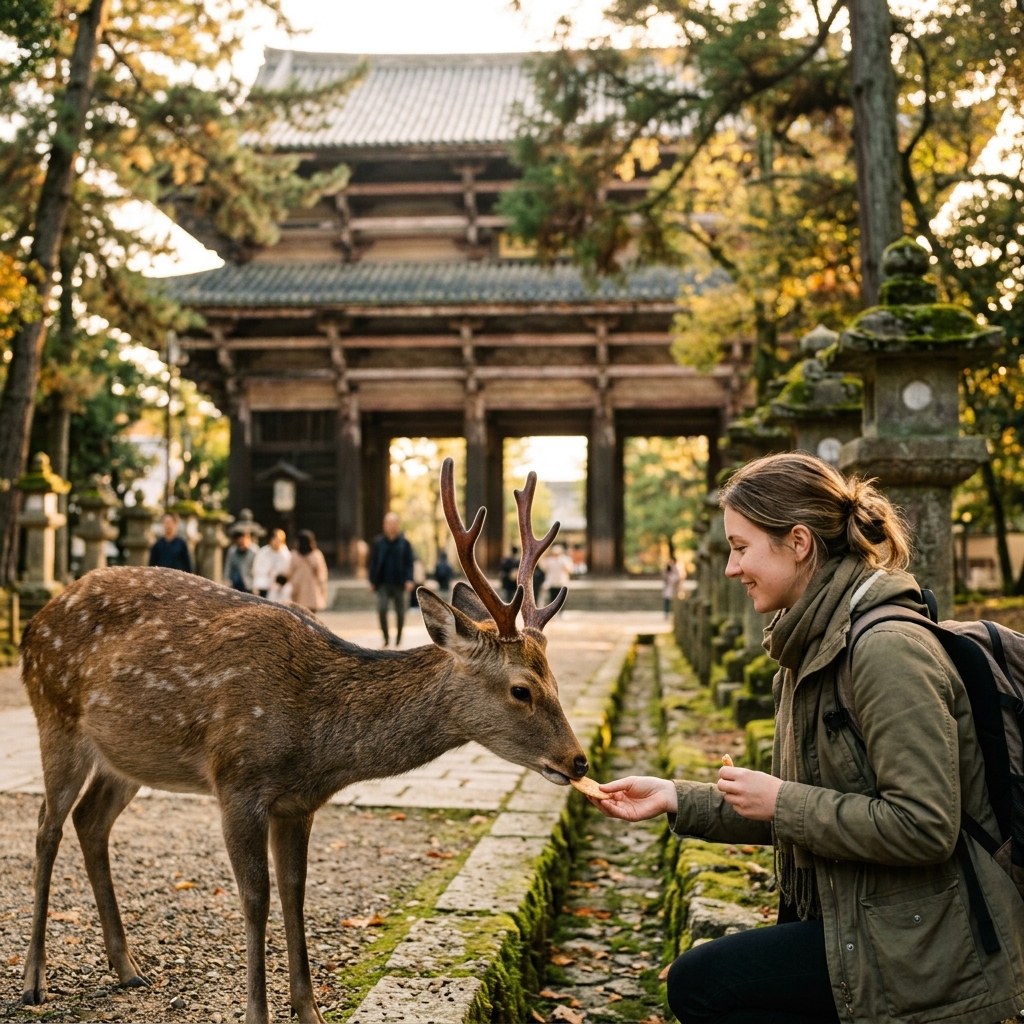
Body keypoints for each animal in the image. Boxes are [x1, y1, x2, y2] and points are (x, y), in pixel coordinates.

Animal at [19, 458, 588, 1024]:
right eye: (521, 689)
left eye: (556, 680)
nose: (578, 761)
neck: (315, 743)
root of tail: (33, 624)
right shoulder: (237, 781)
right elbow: (256, 897)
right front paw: (257, 1012)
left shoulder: (298, 802)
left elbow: (295, 893)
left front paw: (307, 1008)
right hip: (55, 716)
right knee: (47, 826)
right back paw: (33, 981)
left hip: (127, 758)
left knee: (90, 821)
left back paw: (128, 969)